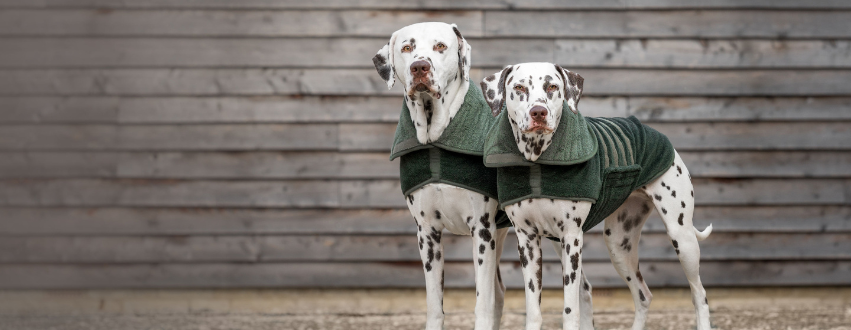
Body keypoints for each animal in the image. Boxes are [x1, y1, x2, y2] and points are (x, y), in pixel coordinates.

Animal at [374, 22, 510, 330]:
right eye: (407, 47)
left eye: (440, 46)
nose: (420, 67)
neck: (437, 139)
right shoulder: (428, 234)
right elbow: (434, 303)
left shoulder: (482, 231)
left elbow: (482, 302)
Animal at [482, 62, 716, 330]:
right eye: (519, 88)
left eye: (552, 86)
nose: (538, 112)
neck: (537, 161)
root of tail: (653, 132)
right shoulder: (527, 242)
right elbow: (533, 309)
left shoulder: (572, 240)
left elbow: (571, 309)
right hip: (618, 244)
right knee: (644, 295)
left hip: (682, 239)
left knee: (699, 293)